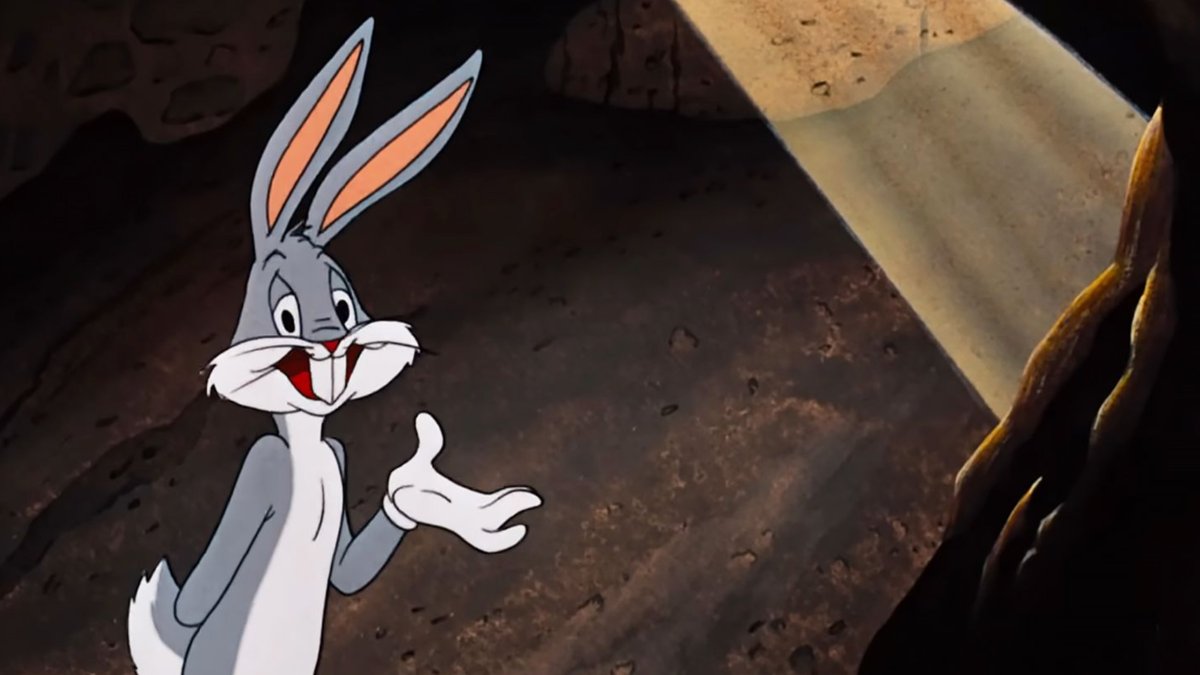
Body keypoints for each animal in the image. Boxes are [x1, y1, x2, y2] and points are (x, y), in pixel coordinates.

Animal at [125, 18, 543, 675]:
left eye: (344, 305)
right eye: (286, 315)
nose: (328, 340)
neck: (306, 451)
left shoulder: (334, 460)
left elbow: (346, 573)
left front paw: (424, 493)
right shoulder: (261, 465)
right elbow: (192, 605)